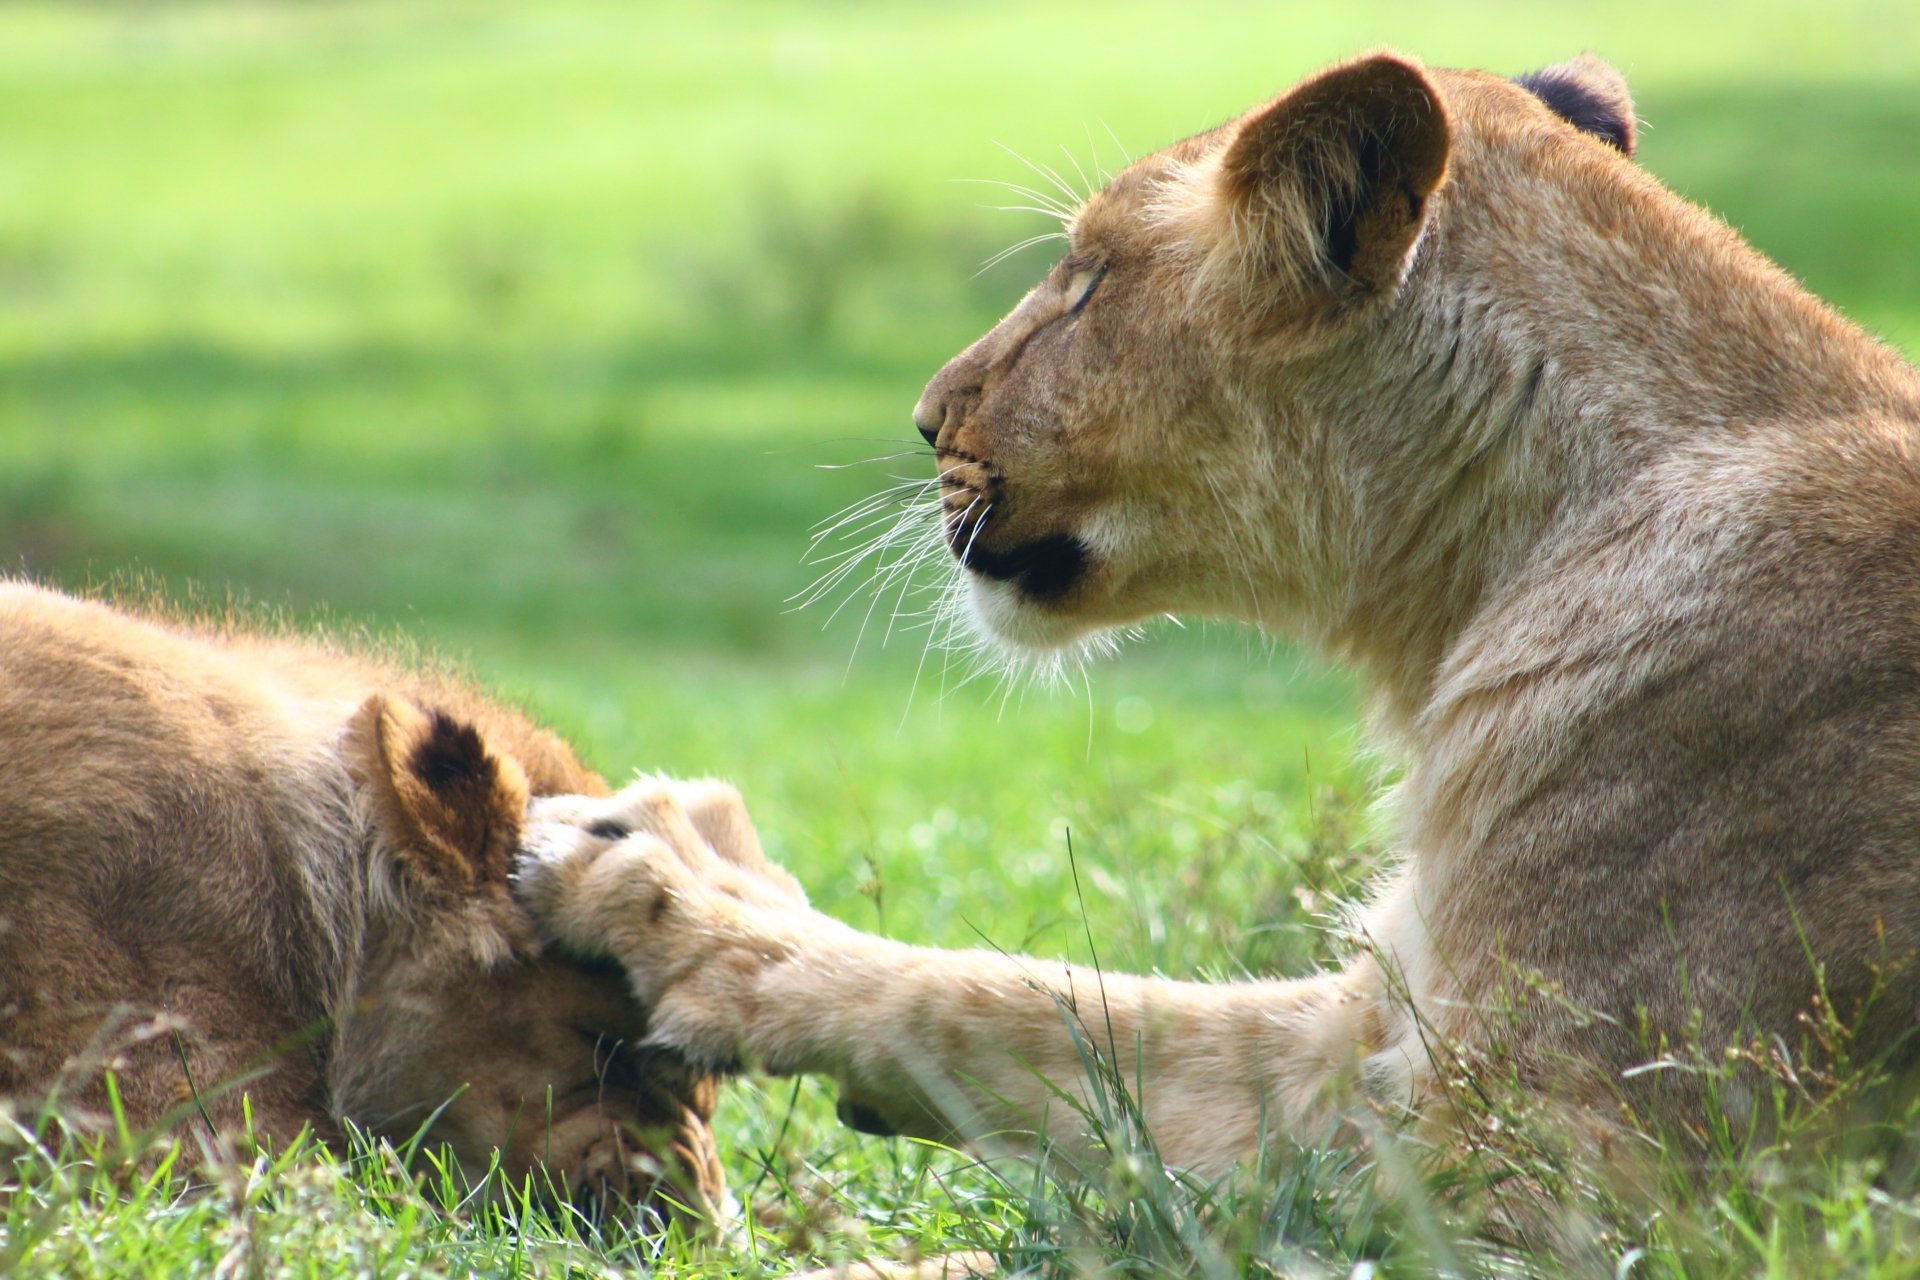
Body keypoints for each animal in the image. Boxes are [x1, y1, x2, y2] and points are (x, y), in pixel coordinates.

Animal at [513, 51, 1920, 1179]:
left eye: (1087, 282)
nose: (925, 416)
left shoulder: (1575, 1155)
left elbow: (1037, 1014)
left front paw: (659, 874)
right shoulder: (1371, 1020)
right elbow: (1050, 1000)